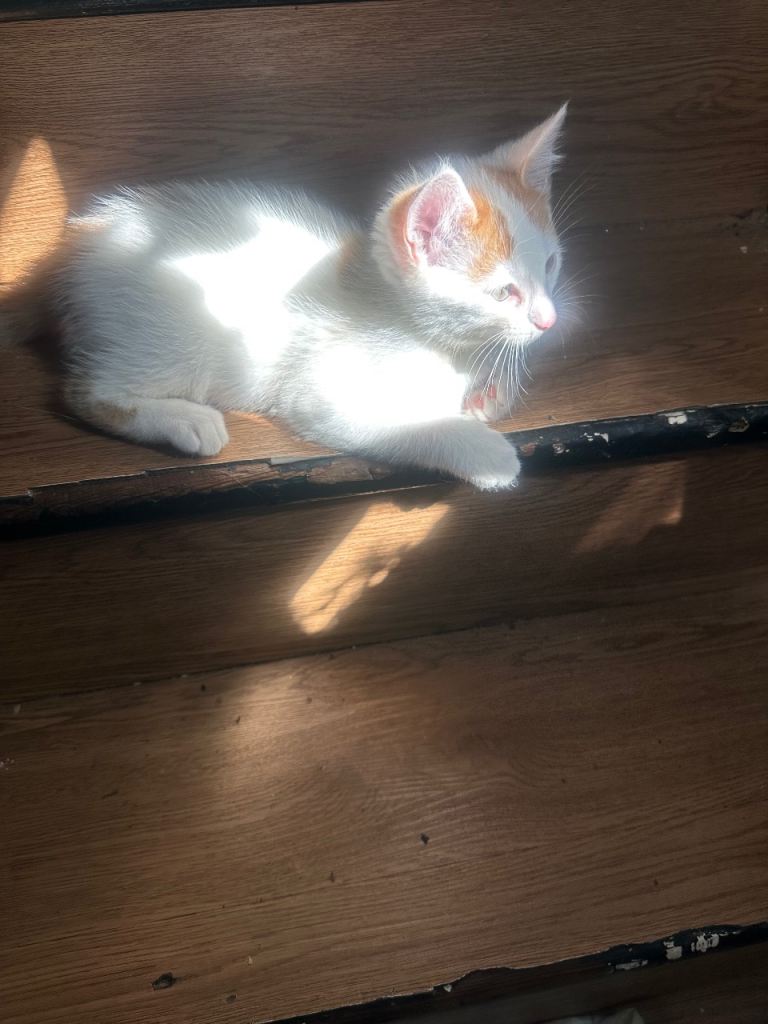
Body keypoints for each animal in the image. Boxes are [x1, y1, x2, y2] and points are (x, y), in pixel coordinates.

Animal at [12, 105, 568, 489]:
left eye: (551, 265)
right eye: (504, 292)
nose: (549, 321)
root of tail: (76, 243)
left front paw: (488, 393)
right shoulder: (322, 394)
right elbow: (408, 425)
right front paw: (489, 453)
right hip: (167, 335)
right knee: (87, 393)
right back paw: (185, 419)